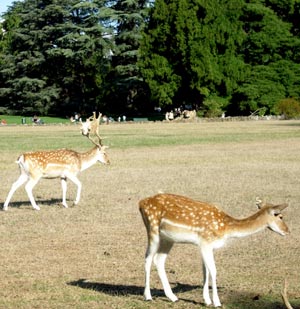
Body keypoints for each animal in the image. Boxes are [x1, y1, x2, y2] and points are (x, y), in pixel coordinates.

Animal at [139, 192, 290, 306]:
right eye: (280, 216)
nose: (287, 231)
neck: (226, 229)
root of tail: (141, 202)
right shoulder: (206, 242)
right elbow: (214, 271)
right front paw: (217, 302)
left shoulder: (205, 245)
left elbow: (205, 271)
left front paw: (207, 301)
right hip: (152, 229)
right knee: (148, 257)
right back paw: (148, 296)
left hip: (168, 239)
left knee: (159, 259)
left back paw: (172, 297)